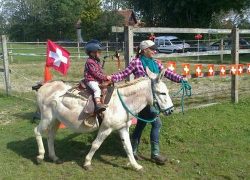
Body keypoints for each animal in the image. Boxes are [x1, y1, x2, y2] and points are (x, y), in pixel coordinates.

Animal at [33, 68, 174, 171]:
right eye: (163, 93)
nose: (171, 110)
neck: (121, 102)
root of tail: (44, 86)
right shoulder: (106, 128)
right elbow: (96, 144)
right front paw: (87, 163)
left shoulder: (122, 128)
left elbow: (128, 147)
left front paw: (136, 166)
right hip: (46, 119)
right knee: (37, 131)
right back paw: (40, 156)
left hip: (56, 120)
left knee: (50, 136)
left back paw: (54, 157)